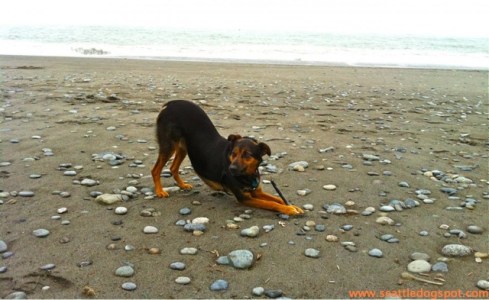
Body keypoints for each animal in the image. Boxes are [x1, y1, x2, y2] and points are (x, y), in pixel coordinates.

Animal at [151, 101, 304, 216]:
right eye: (233, 153)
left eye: (247, 155)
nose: (231, 168)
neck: (248, 174)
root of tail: (170, 104)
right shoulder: (245, 198)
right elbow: (271, 203)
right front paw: (288, 209)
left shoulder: (257, 191)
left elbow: (277, 198)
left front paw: (293, 205)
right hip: (168, 145)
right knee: (155, 169)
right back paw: (160, 191)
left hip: (184, 147)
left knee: (173, 167)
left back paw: (182, 185)